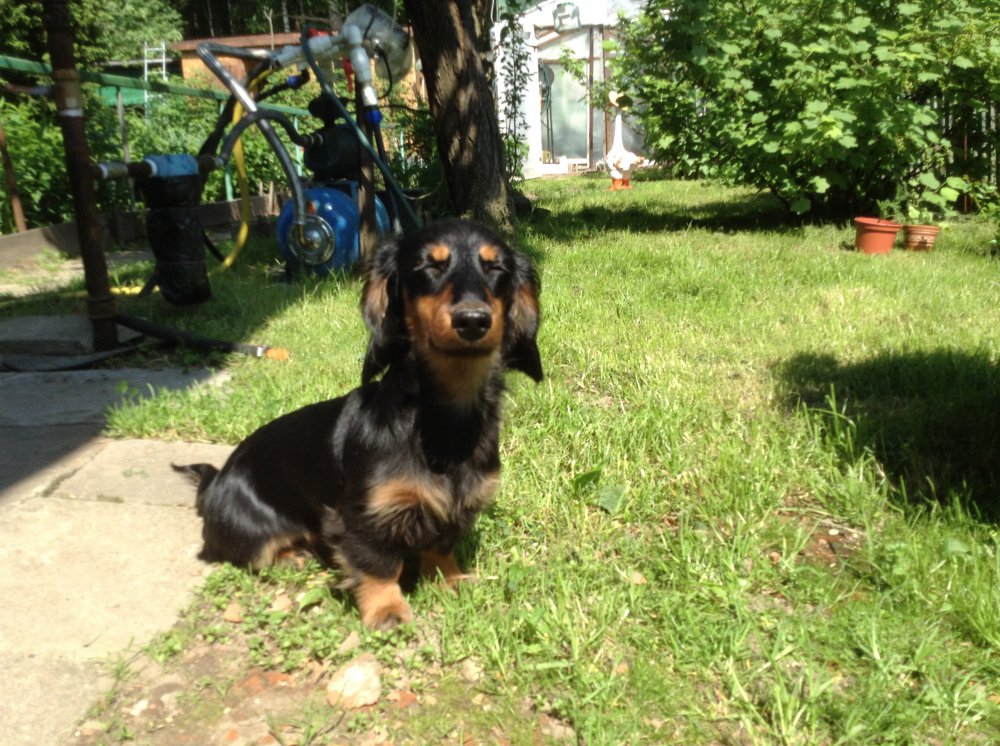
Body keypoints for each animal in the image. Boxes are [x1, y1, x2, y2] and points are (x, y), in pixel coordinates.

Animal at [174, 219, 542, 630]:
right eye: (428, 266)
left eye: (497, 268)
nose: (473, 320)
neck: (441, 421)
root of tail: (214, 482)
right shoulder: (363, 516)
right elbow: (379, 564)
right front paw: (386, 609)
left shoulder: (460, 505)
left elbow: (441, 546)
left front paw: (449, 579)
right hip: (251, 527)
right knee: (256, 551)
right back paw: (290, 556)